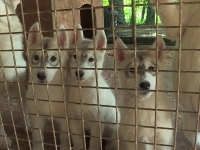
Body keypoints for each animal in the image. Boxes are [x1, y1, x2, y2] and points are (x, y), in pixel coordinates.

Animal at [25, 22, 69, 150]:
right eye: (35, 57)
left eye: (53, 58)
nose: (41, 75)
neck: (47, 90)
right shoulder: (36, 116)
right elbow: (37, 136)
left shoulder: (65, 119)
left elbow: (64, 137)